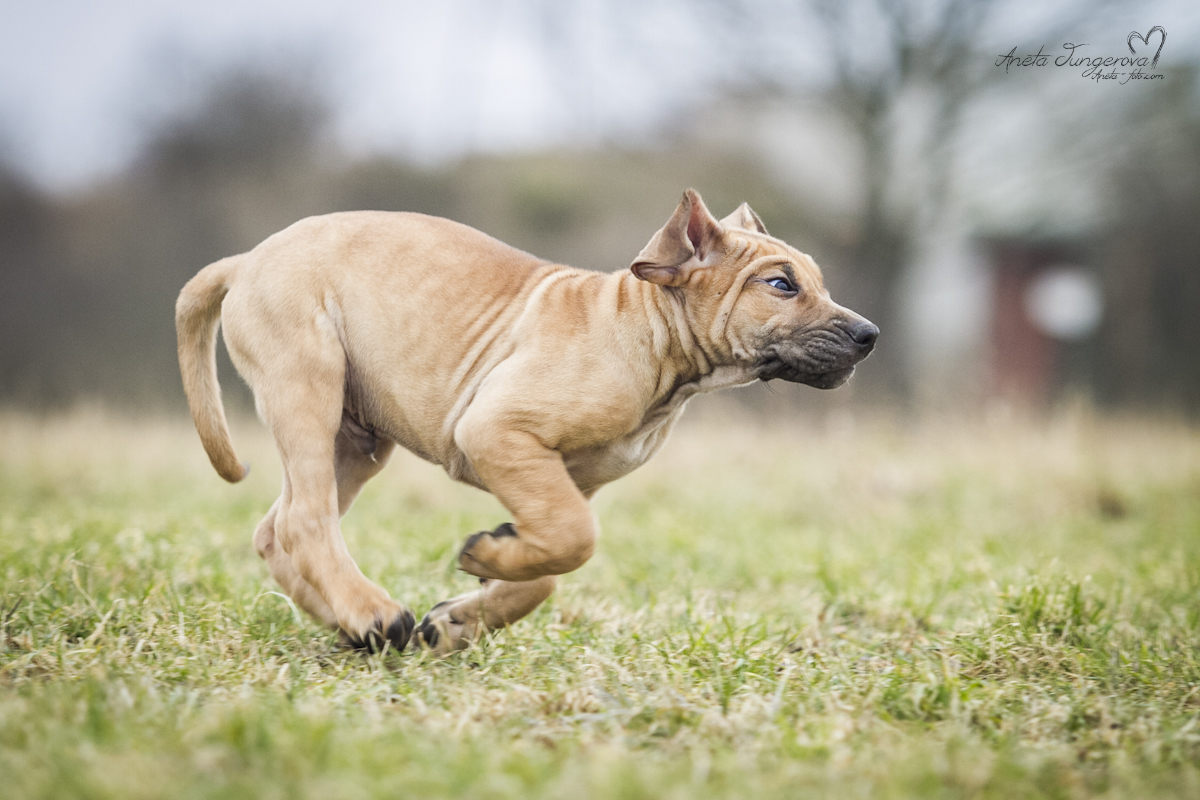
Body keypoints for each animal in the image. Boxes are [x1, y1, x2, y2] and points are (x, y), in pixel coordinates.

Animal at [175, 190, 873, 652]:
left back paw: (350, 625)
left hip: (357, 438)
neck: (649, 339)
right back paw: (371, 613)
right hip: (309, 384)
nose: (870, 335)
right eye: (781, 285)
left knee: (276, 530)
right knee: (304, 519)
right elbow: (574, 539)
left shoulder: (567, 480)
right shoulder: (496, 432)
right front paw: (485, 563)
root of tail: (246, 259)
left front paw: (466, 607)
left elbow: (551, 567)